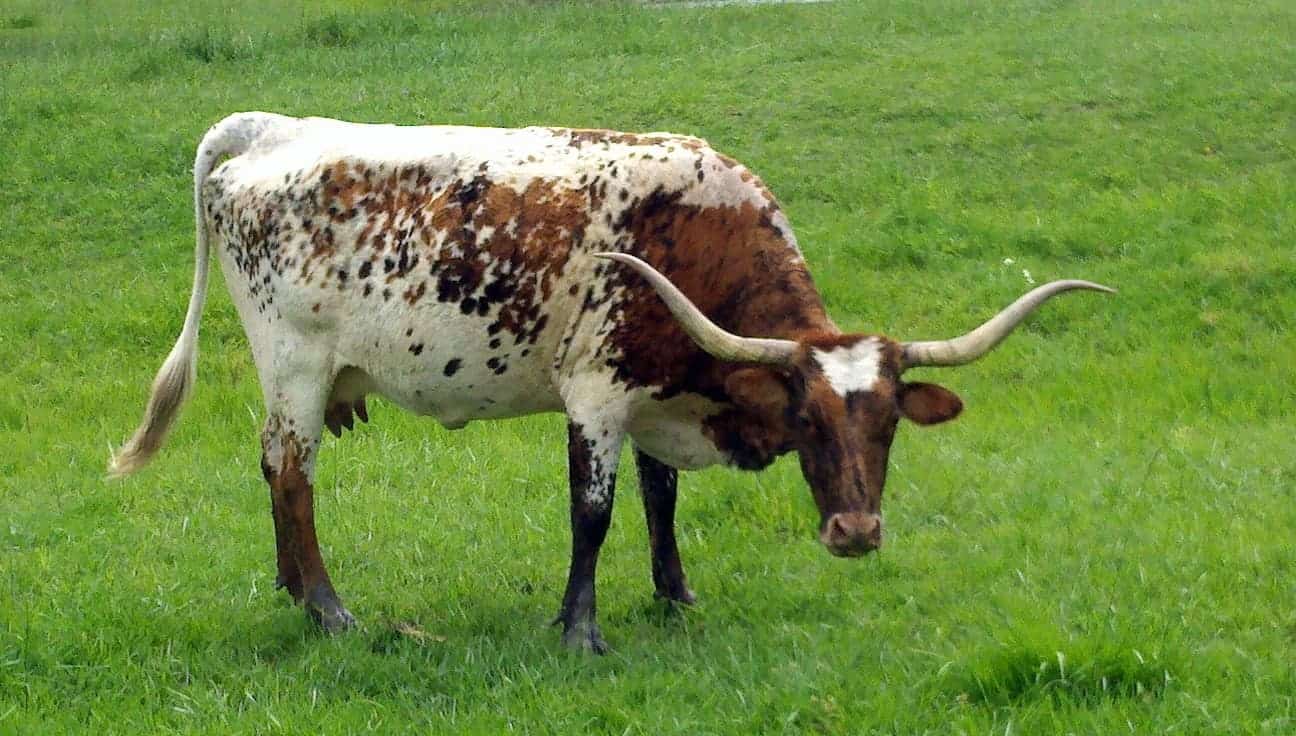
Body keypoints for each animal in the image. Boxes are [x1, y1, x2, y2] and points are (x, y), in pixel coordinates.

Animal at [108, 112, 1114, 653]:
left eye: (888, 425)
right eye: (808, 420)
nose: (856, 534)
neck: (695, 236)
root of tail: (272, 130)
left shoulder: (652, 400)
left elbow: (661, 499)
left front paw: (675, 594)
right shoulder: (594, 394)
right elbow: (592, 513)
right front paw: (579, 629)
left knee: (273, 470)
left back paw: (293, 593)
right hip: (296, 366)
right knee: (292, 473)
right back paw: (327, 607)